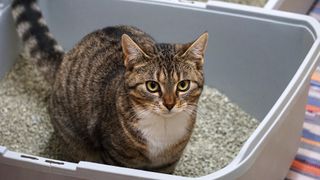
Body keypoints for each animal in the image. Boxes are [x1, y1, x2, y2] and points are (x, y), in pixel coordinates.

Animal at [11, 0, 209, 173]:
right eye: (152, 86)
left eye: (183, 85)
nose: (169, 104)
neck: (163, 128)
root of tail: (64, 60)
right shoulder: (115, 157)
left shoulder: (168, 163)